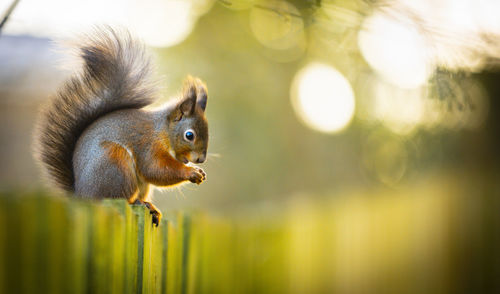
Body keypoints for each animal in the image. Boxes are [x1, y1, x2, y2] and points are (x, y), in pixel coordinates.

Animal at [33, 27, 208, 225]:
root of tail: (82, 196)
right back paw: (141, 204)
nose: (201, 159)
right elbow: (155, 169)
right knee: (122, 198)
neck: (163, 131)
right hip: (115, 164)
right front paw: (192, 172)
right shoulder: (149, 146)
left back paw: (150, 207)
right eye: (189, 135)